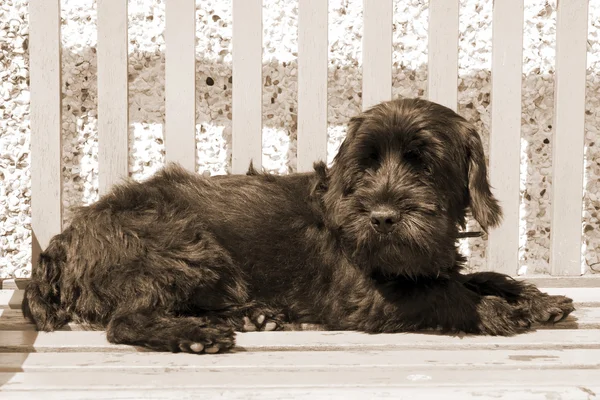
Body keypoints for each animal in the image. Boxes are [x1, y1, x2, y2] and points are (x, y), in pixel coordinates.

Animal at [23, 97, 576, 354]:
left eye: (423, 164)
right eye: (365, 165)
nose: (381, 217)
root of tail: (63, 242)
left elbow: (477, 276)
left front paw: (537, 298)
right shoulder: (362, 297)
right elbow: (448, 293)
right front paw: (498, 312)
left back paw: (253, 316)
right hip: (181, 244)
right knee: (125, 320)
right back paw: (197, 335)